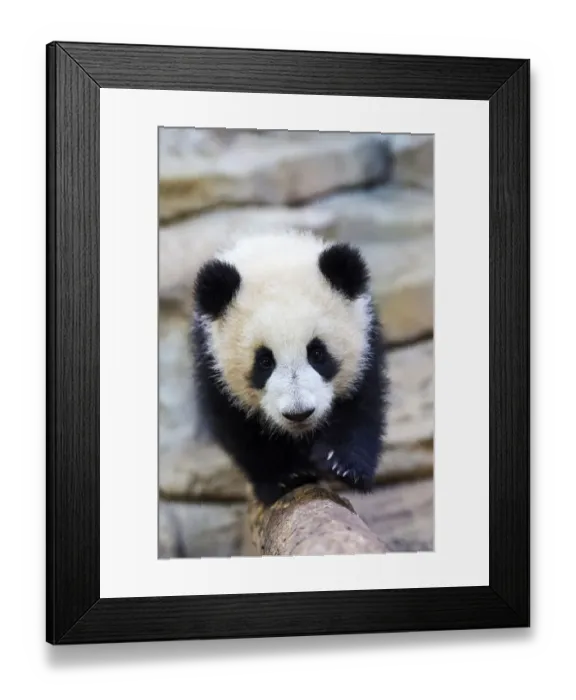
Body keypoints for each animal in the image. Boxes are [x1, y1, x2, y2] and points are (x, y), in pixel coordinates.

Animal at [190, 229, 389, 506]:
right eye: (264, 361)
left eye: (317, 353)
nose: (299, 413)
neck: (276, 257)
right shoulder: (211, 360)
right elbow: (237, 427)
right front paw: (285, 477)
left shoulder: (366, 342)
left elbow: (362, 405)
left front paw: (343, 465)